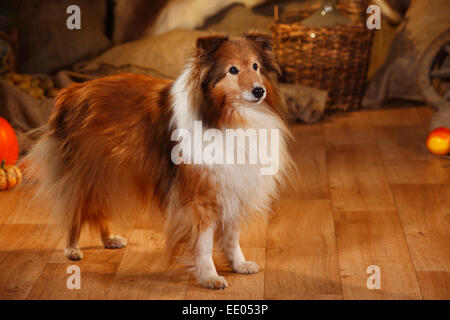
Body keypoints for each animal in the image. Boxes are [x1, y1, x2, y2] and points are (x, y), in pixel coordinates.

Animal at [24, 32, 294, 290]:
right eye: (233, 70)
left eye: (256, 66)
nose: (259, 91)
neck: (226, 117)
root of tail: (72, 91)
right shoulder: (201, 196)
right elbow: (204, 243)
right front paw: (209, 277)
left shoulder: (234, 185)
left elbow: (231, 236)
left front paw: (238, 265)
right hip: (87, 172)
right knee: (75, 207)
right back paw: (72, 248)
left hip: (108, 174)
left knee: (98, 208)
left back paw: (109, 239)